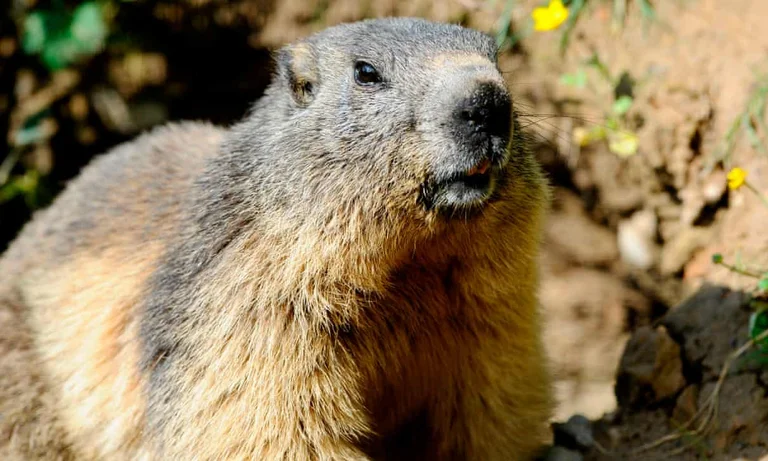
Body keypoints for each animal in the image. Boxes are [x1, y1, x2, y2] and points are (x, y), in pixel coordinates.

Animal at [0, 17, 553, 460]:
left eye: (495, 59)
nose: (488, 102)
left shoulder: (493, 321)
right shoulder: (246, 304)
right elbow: (265, 419)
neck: (416, 264)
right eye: (366, 72)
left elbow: (491, 406)